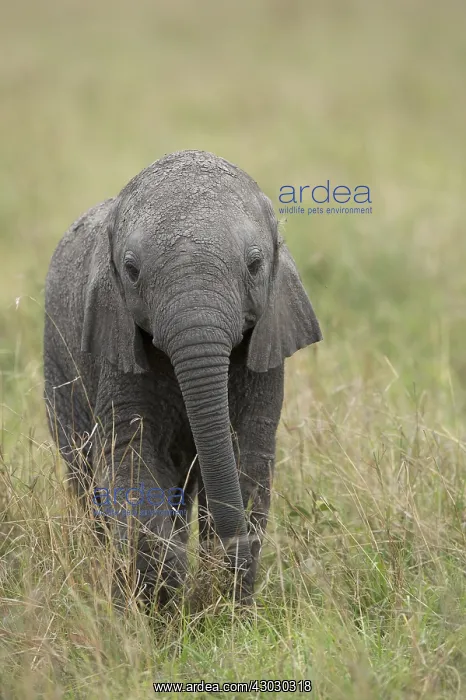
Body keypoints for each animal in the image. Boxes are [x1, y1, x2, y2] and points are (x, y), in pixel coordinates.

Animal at [43, 150, 322, 605]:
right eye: (131, 270)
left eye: (255, 265)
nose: (235, 540)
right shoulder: (115, 344)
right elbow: (131, 455)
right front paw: (160, 602)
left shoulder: (266, 344)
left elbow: (247, 453)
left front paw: (226, 601)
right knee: (85, 476)